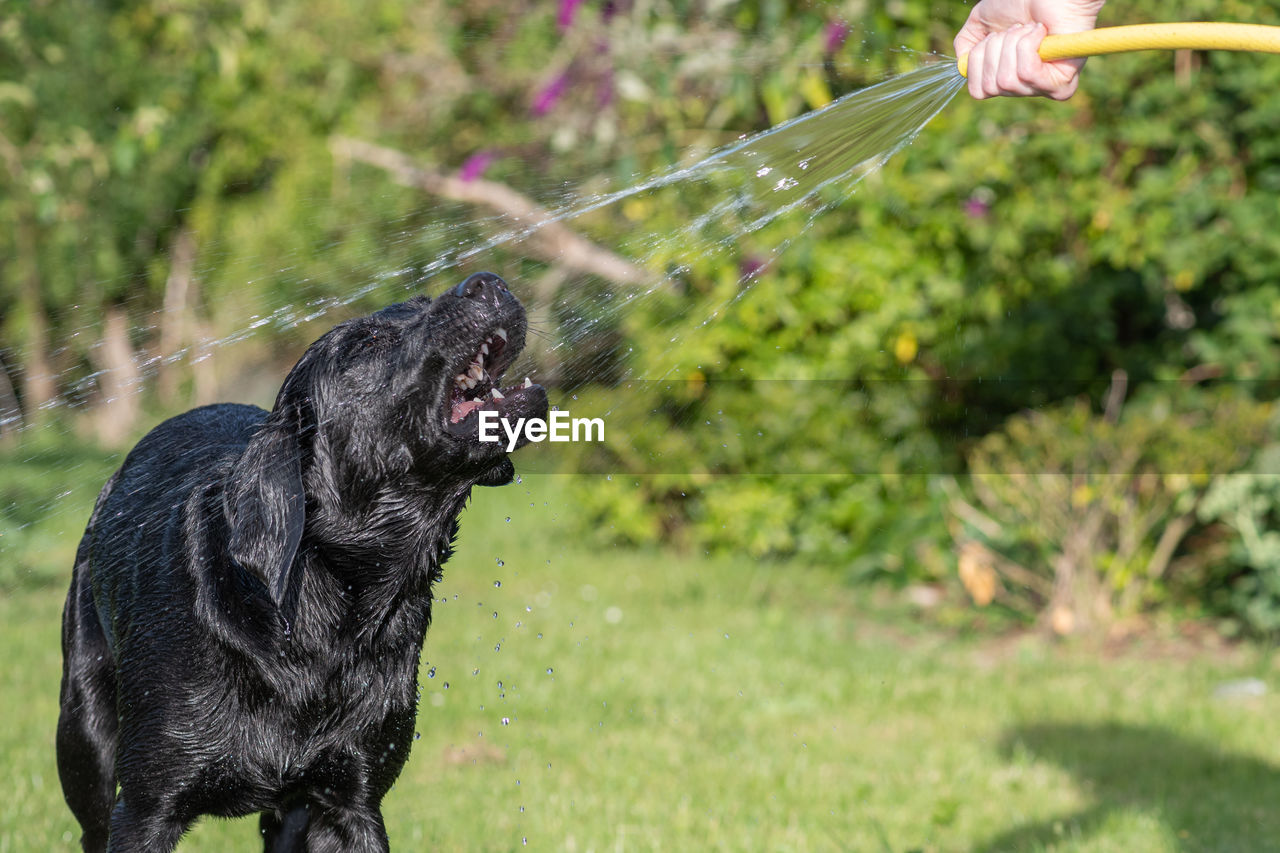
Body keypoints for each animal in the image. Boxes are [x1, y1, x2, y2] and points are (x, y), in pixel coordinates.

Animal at [56, 272, 545, 850]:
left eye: (425, 303)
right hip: (84, 730)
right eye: (367, 344)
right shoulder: (145, 810)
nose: (487, 281)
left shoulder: (350, 805)